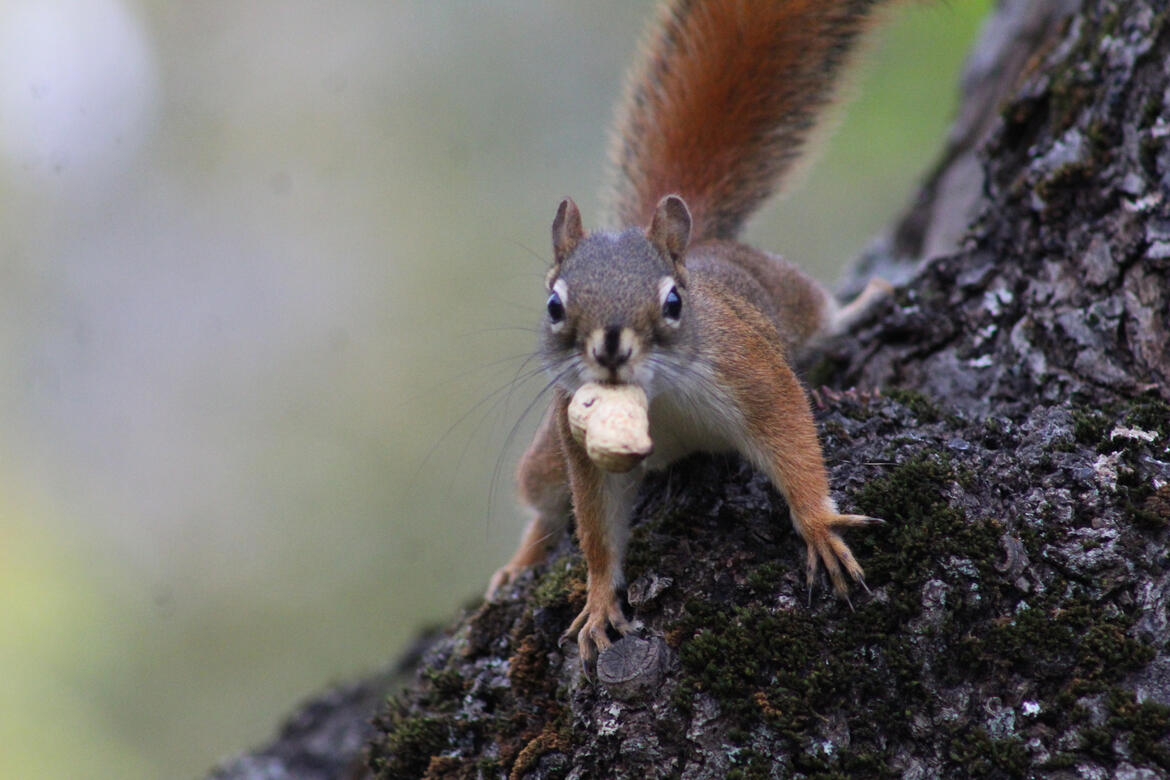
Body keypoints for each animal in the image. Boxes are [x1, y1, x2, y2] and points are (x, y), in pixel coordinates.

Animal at [487, 0, 895, 669]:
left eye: (674, 302)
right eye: (553, 306)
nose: (610, 347)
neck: (657, 399)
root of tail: (702, 240)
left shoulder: (752, 372)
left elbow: (794, 443)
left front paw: (817, 526)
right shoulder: (581, 441)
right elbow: (595, 528)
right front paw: (598, 601)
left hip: (786, 294)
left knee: (822, 314)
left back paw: (863, 303)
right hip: (548, 449)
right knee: (543, 500)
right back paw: (520, 561)